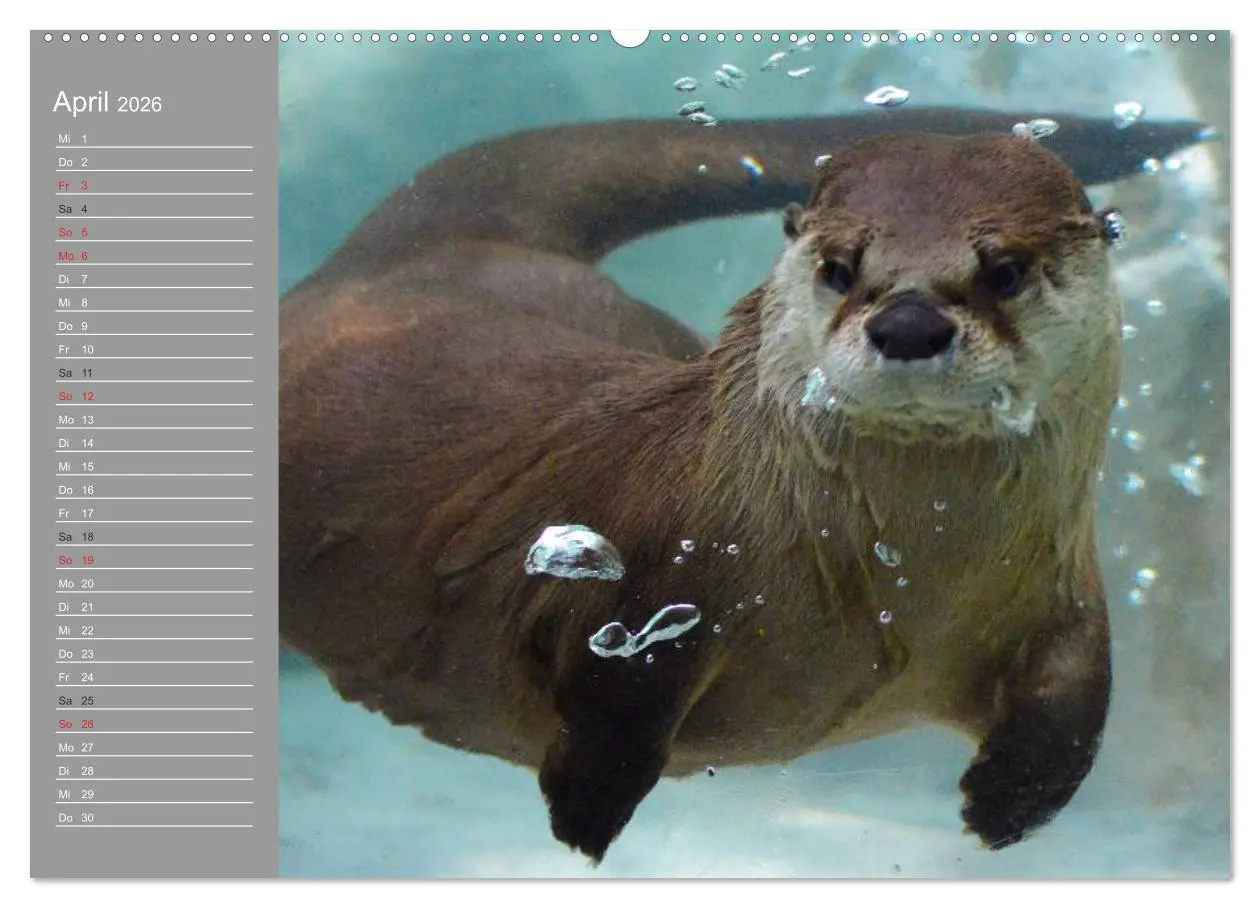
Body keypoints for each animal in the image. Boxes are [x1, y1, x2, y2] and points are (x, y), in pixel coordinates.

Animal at [278, 109, 1206, 863]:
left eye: (1005, 270)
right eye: (840, 267)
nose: (908, 322)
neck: (901, 587)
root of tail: (418, 256)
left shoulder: (1061, 591)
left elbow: (1080, 696)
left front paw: (1009, 803)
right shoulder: (647, 573)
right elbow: (615, 689)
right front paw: (587, 806)